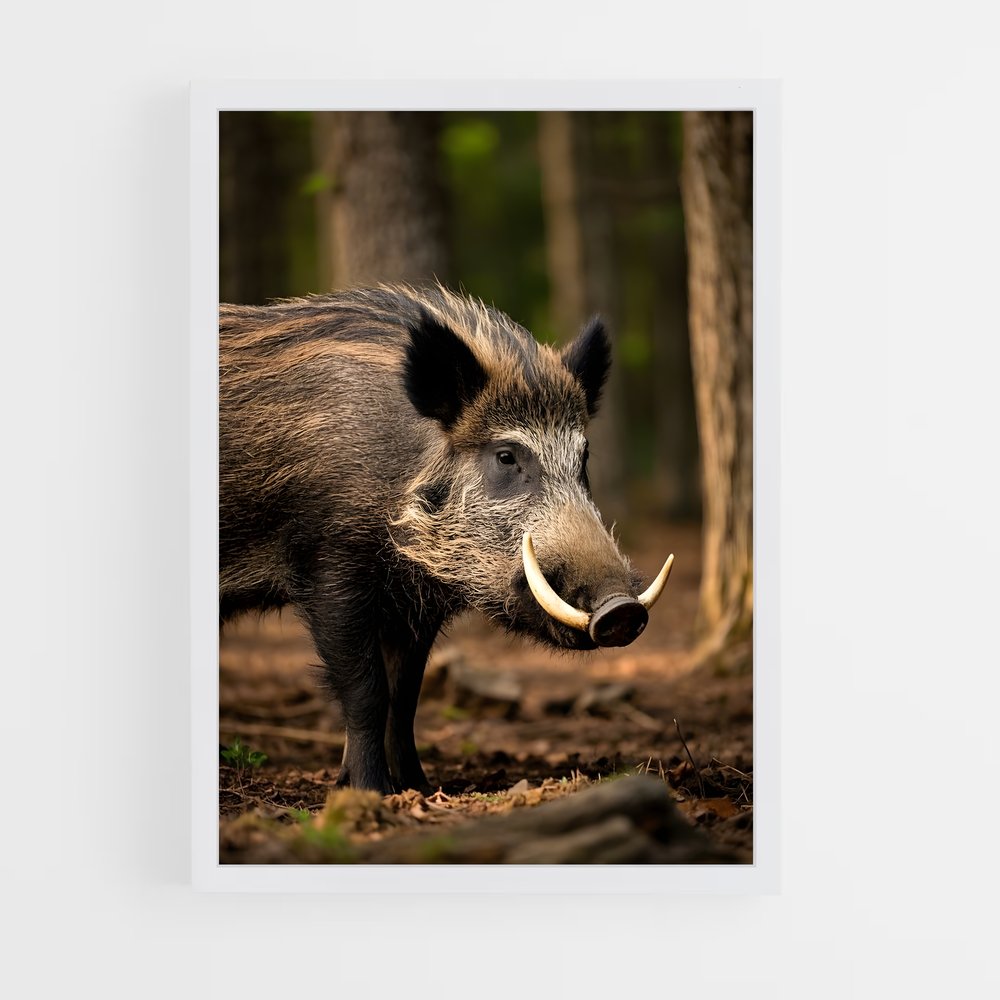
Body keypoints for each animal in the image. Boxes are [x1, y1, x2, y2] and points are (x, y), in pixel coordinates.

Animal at [219, 284, 673, 794]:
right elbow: (367, 691)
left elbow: (405, 695)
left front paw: (416, 787)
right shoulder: (330, 569)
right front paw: (372, 791)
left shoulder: (413, 606)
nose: (622, 609)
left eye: (584, 456)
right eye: (506, 456)